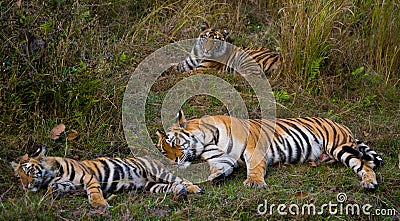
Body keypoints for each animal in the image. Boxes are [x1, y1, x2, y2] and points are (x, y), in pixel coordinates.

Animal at [10, 146, 205, 208]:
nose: (25, 186)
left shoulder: (88, 178)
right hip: (151, 185)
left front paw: (100, 204)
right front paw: (54, 192)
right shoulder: (69, 184)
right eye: (19, 177)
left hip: (157, 172)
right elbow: (55, 187)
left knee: (181, 180)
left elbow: (94, 191)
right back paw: (180, 193)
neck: (50, 175)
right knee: (171, 186)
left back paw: (194, 188)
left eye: (28, 172)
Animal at [156, 111, 384, 191]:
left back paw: (369, 183)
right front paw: (216, 177)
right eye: (163, 151)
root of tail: (342, 125)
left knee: (364, 164)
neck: (207, 139)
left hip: (338, 148)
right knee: (365, 161)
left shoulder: (253, 149)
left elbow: (255, 167)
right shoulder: (221, 158)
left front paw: (254, 182)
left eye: (173, 142)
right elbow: (220, 167)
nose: (172, 161)